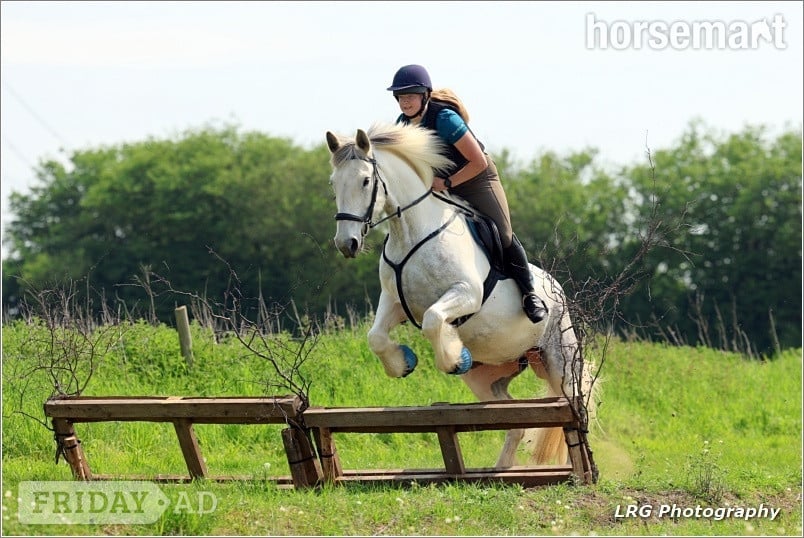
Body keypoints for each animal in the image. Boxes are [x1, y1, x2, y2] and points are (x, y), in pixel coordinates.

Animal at [325, 122, 596, 467]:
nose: (347, 244)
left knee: (574, 409)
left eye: (365, 180)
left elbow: (432, 320)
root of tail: (557, 289)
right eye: (334, 184)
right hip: (487, 378)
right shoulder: (394, 302)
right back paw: (500, 470)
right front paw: (404, 363)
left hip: (559, 360)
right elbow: (376, 337)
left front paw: (453, 358)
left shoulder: (465, 294)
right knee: (514, 421)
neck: (409, 231)